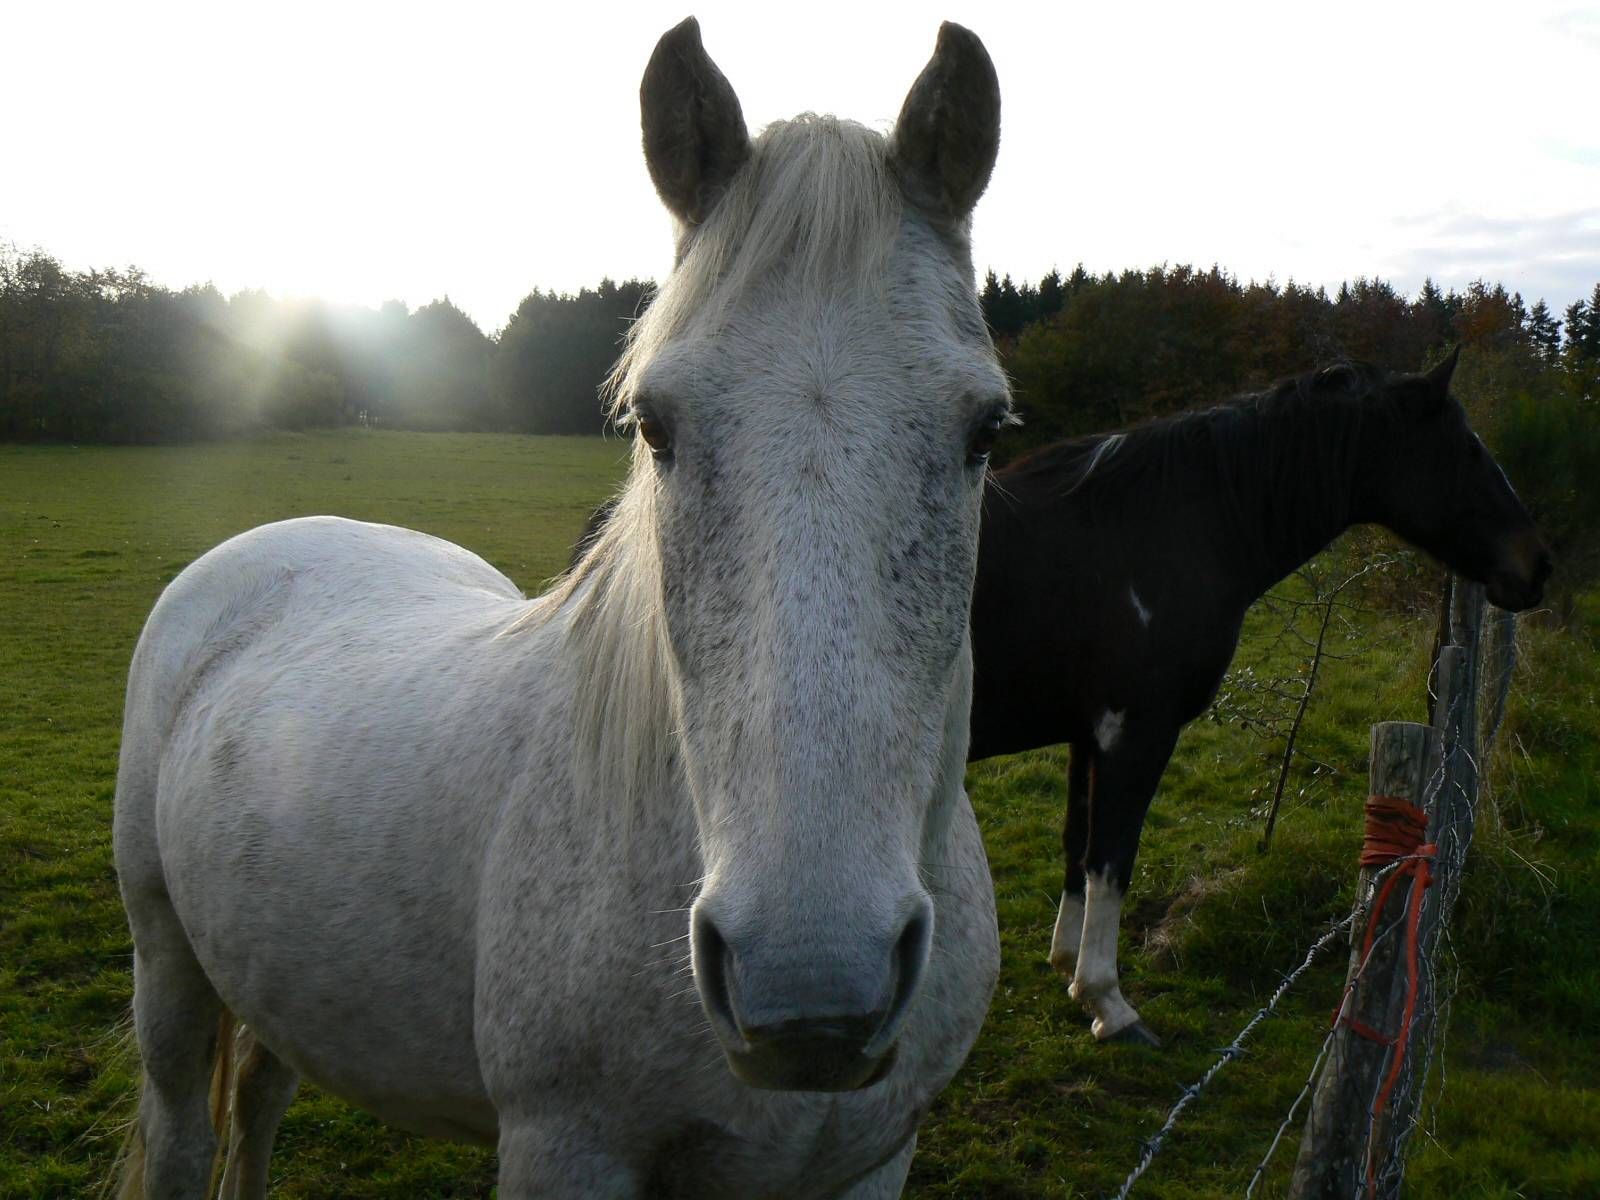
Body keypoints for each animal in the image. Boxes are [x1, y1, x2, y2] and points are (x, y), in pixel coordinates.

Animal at [116, 21, 1011, 1200]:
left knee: (257, 1099)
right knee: (182, 1124)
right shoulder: (563, 1148)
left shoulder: (875, 1159)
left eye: (987, 430)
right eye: (653, 425)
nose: (811, 986)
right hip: (165, 958)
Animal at [966, 352, 1542, 1049]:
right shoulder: (1137, 732)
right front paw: (1109, 1002)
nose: (1536, 565)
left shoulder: (1087, 733)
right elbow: (1112, 858)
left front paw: (1069, 970)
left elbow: (1078, 847)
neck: (1155, 530)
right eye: (1464, 449)